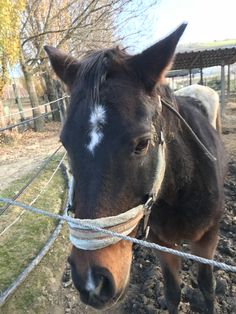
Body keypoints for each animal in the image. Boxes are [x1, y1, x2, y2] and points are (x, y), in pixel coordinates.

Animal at [44, 23, 227, 312]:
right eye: (65, 143)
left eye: (142, 144)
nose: (92, 281)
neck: (181, 189)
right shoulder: (162, 244)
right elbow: (172, 293)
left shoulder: (208, 240)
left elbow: (208, 290)